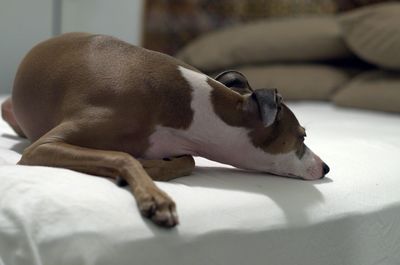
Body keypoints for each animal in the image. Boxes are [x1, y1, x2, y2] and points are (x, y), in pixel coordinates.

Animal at [2, 32, 328, 227]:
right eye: (302, 136)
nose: (326, 167)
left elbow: (188, 160)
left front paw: (150, 169)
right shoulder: (42, 147)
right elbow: (122, 156)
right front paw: (155, 197)